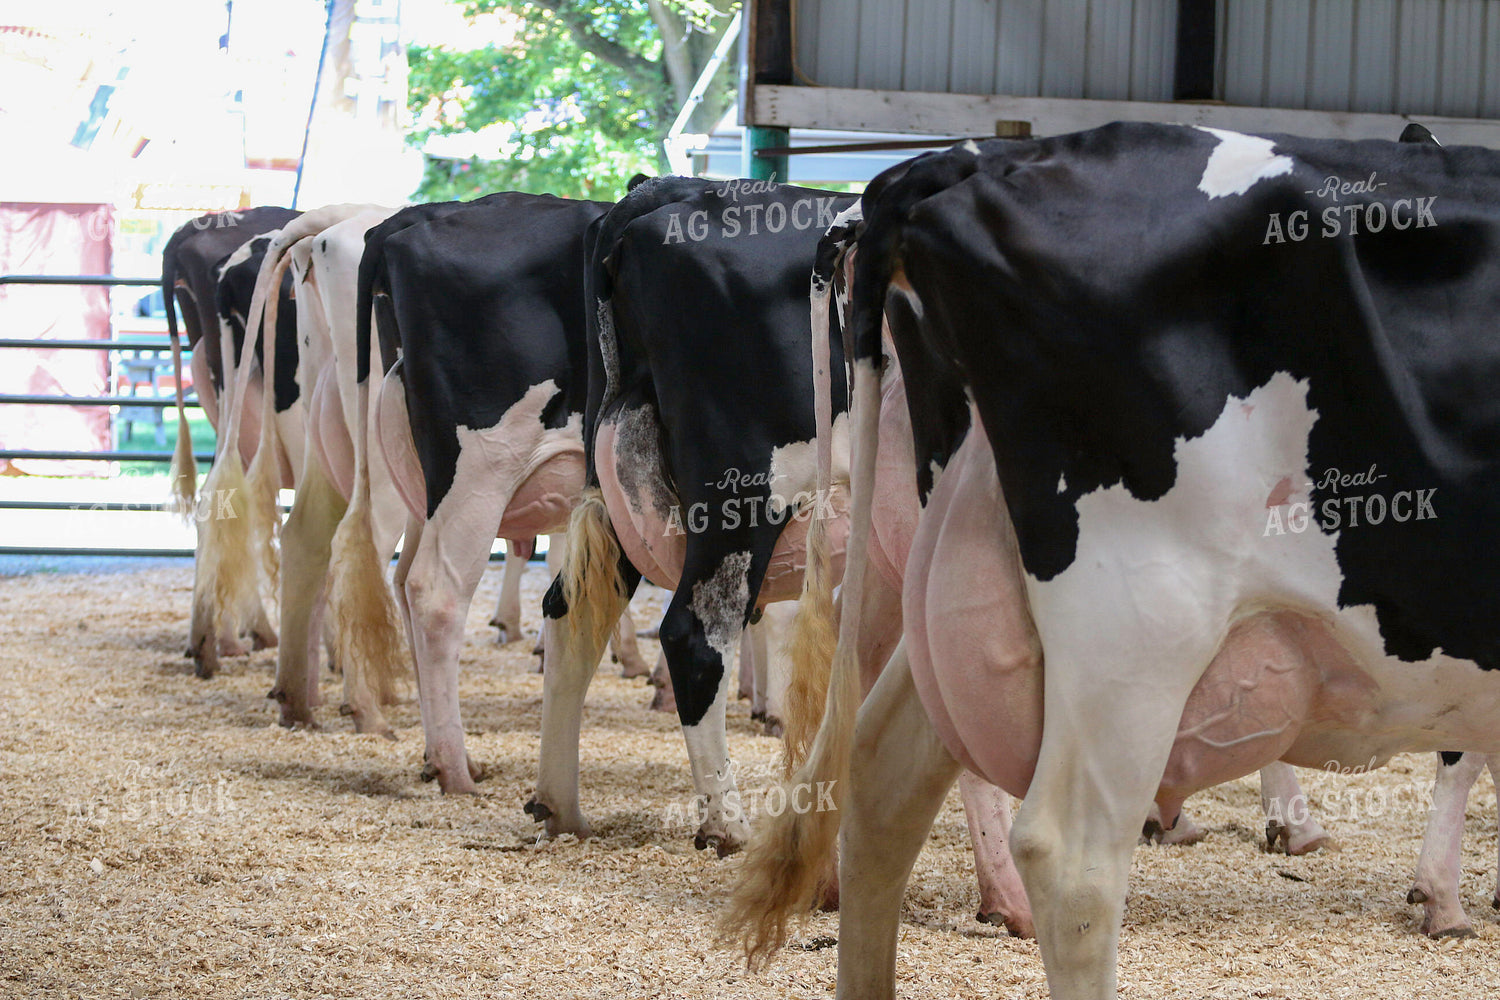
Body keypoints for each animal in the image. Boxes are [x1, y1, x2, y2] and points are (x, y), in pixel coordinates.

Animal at [330, 192, 650, 791]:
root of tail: (401, 225)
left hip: (422, 483)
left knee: (402, 582)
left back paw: (437, 754)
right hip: (480, 474)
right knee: (434, 593)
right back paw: (455, 770)